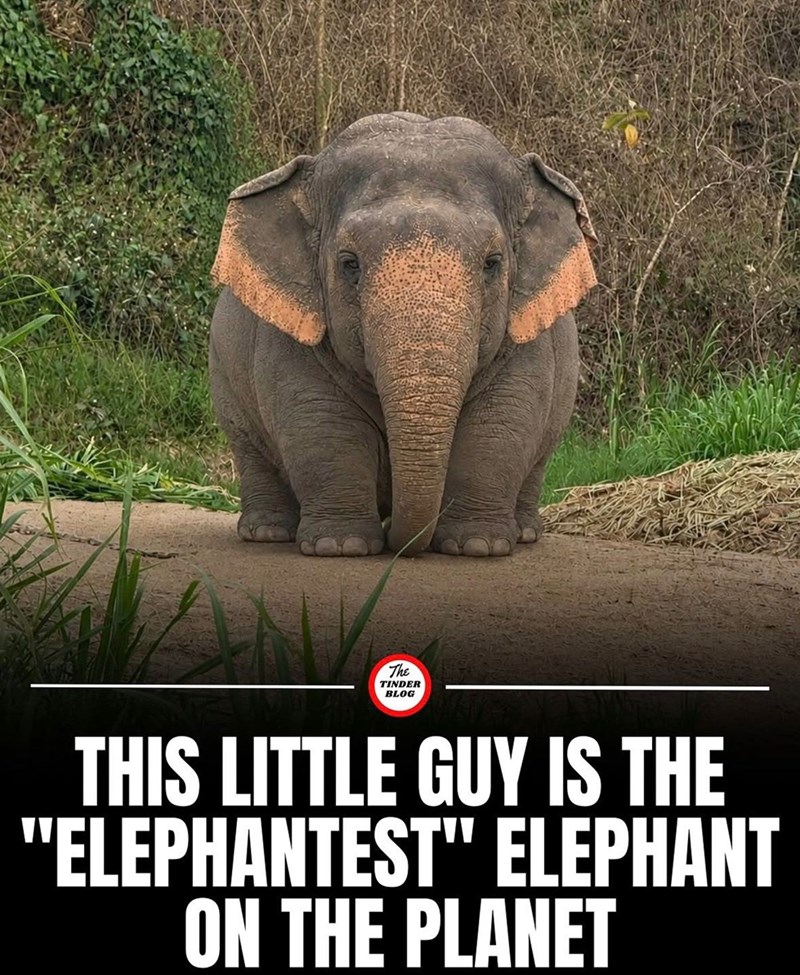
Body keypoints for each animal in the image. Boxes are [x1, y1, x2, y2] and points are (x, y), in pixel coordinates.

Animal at [209, 112, 597, 557]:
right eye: (349, 264)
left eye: (493, 263)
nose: (401, 541)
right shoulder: (291, 335)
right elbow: (322, 424)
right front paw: (340, 546)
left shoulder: (526, 336)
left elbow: (499, 423)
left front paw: (478, 546)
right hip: (224, 378)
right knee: (250, 448)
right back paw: (267, 532)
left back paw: (527, 533)